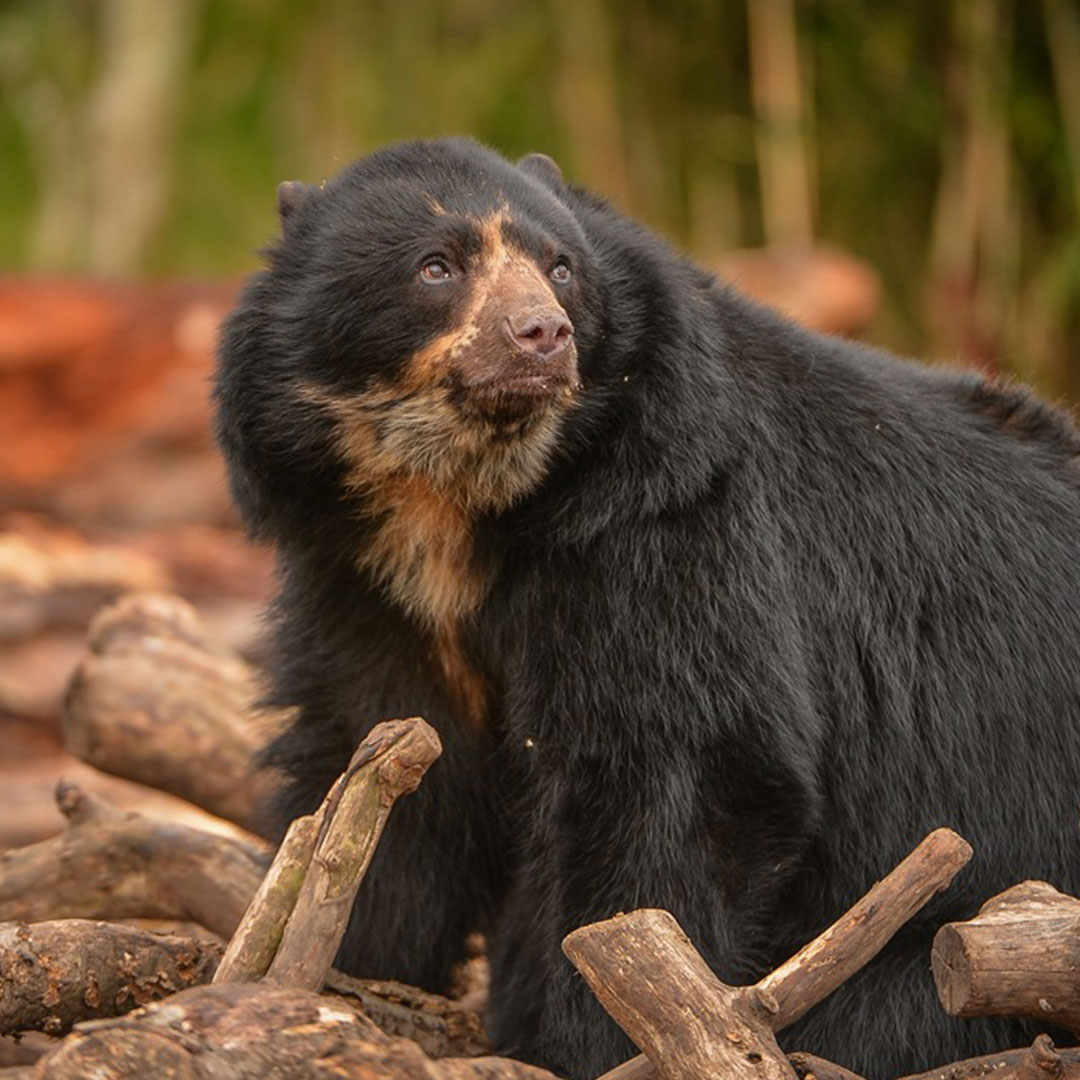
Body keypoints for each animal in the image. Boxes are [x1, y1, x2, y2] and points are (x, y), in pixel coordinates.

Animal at [214, 139, 1080, 1075]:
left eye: (560, 266)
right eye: (436, 266)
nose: (542, 334)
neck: (464, 504)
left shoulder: (667, 520)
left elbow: (672, 772)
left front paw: (603, 1035)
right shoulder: (363, 579)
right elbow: (389, 758)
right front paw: (352, 974)